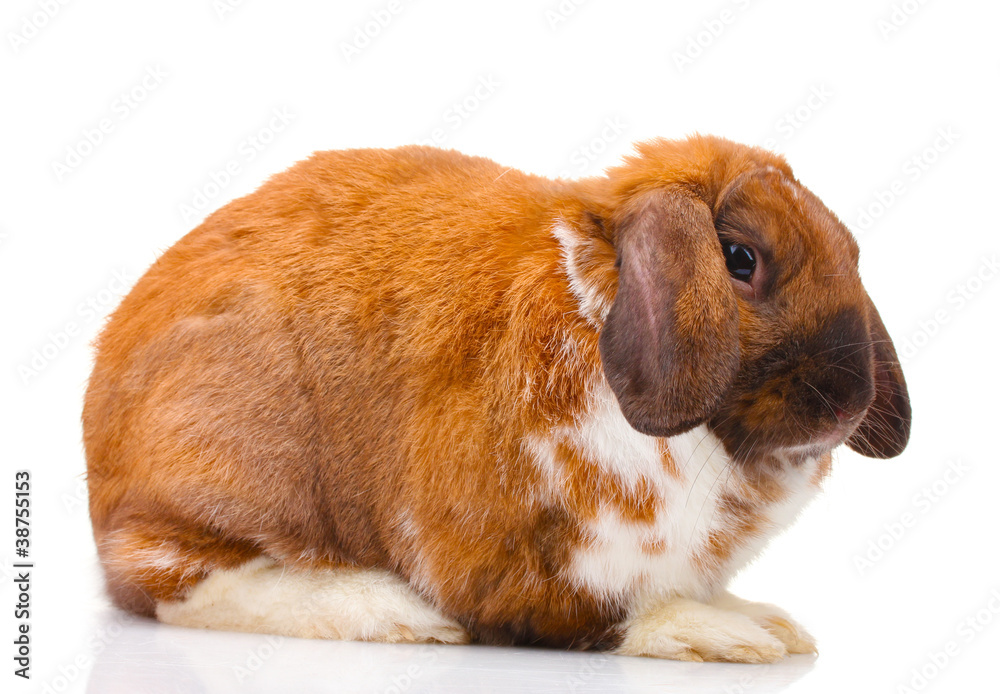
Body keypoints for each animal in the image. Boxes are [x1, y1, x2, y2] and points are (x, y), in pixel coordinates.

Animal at [83, 134, 910, 662]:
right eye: (740, 259)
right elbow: (599, 618)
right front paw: (720, 635)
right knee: (175, 583)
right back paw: (391, 614)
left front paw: (765, 621)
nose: (849, 402)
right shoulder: (526, 558)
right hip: (234, 477)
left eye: (849, 251)